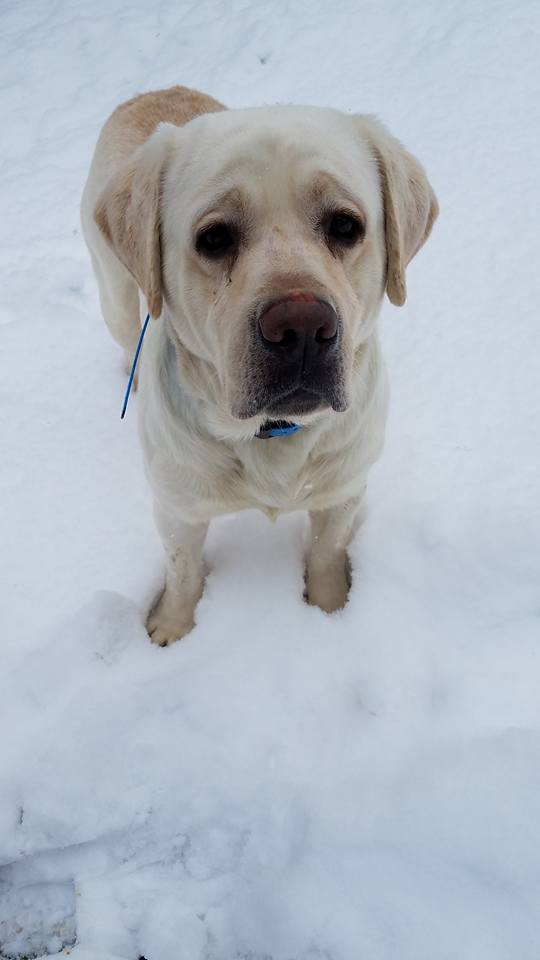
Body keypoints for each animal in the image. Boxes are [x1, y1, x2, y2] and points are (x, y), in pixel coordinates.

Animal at [83, 86, 438, 644]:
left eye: (345, 224)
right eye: (213, 237)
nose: (302, 327)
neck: (273, 434)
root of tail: (154, 91)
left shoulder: (343, 490)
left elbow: (327, 553)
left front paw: (329, 609)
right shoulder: (177, 507)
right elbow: (182, 571)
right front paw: (171, 628)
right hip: (114, 295)